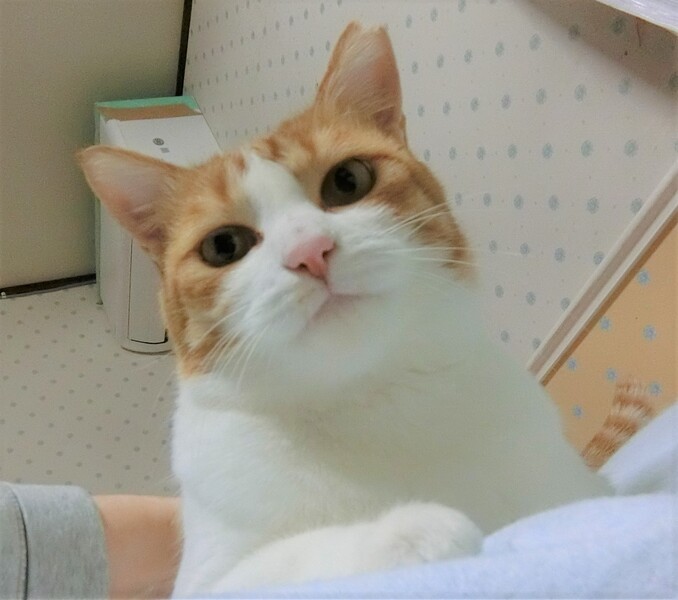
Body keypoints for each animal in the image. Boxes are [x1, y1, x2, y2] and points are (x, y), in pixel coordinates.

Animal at [79, 22, 610, 596]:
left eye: (348, 181)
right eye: (224, 246)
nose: (309, 251)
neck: (366, 401)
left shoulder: (573, 482)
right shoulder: (209, 577)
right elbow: (295, 558)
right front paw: (418, 529)